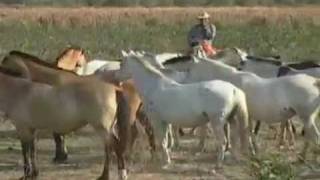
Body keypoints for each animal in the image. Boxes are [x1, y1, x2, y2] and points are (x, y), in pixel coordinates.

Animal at [0, 51, 130, 180]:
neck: (19, 90)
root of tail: (114, 87)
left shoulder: (23, 129)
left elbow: (25, 151)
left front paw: (27, 174)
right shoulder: (31, 129)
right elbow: (32, 151)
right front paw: (34, 174)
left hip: (102, 128)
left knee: (113, 147)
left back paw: (110, 175)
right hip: (110, 127)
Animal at [115, 53, 250, 169]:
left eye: (122, 64)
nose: (117, 79)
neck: (153, 87)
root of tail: (234, 89)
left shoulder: (157, 121)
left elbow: (162, 141)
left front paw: (165, 162)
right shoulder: (165, 122)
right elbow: (167, 140)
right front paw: (167, 158)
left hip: (217, 122)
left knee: (222, 142)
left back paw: (218, 164)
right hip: (231, 120)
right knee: (234, 139)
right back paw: (232, 158)